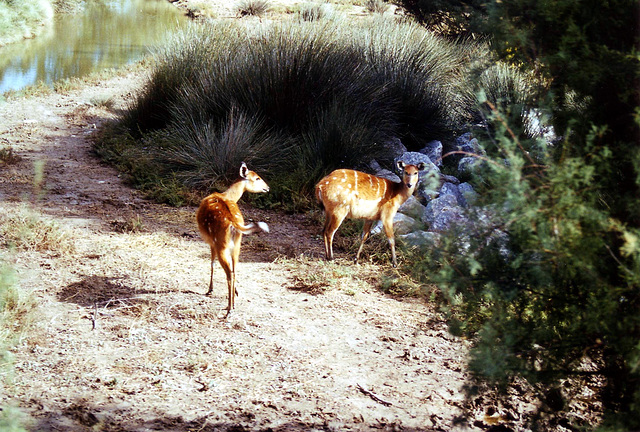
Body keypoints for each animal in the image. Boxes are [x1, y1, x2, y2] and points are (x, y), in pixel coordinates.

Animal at [199, 162, 272, 318]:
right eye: (257, 178)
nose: (267, 188)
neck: (228, 195)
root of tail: (234, 223)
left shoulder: (210, 241)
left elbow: (211, 263)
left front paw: (210, 289)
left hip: (221, 244)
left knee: (229, 272)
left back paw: (229, 309)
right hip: (237, 245)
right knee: (234, 269)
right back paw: (233, 303)